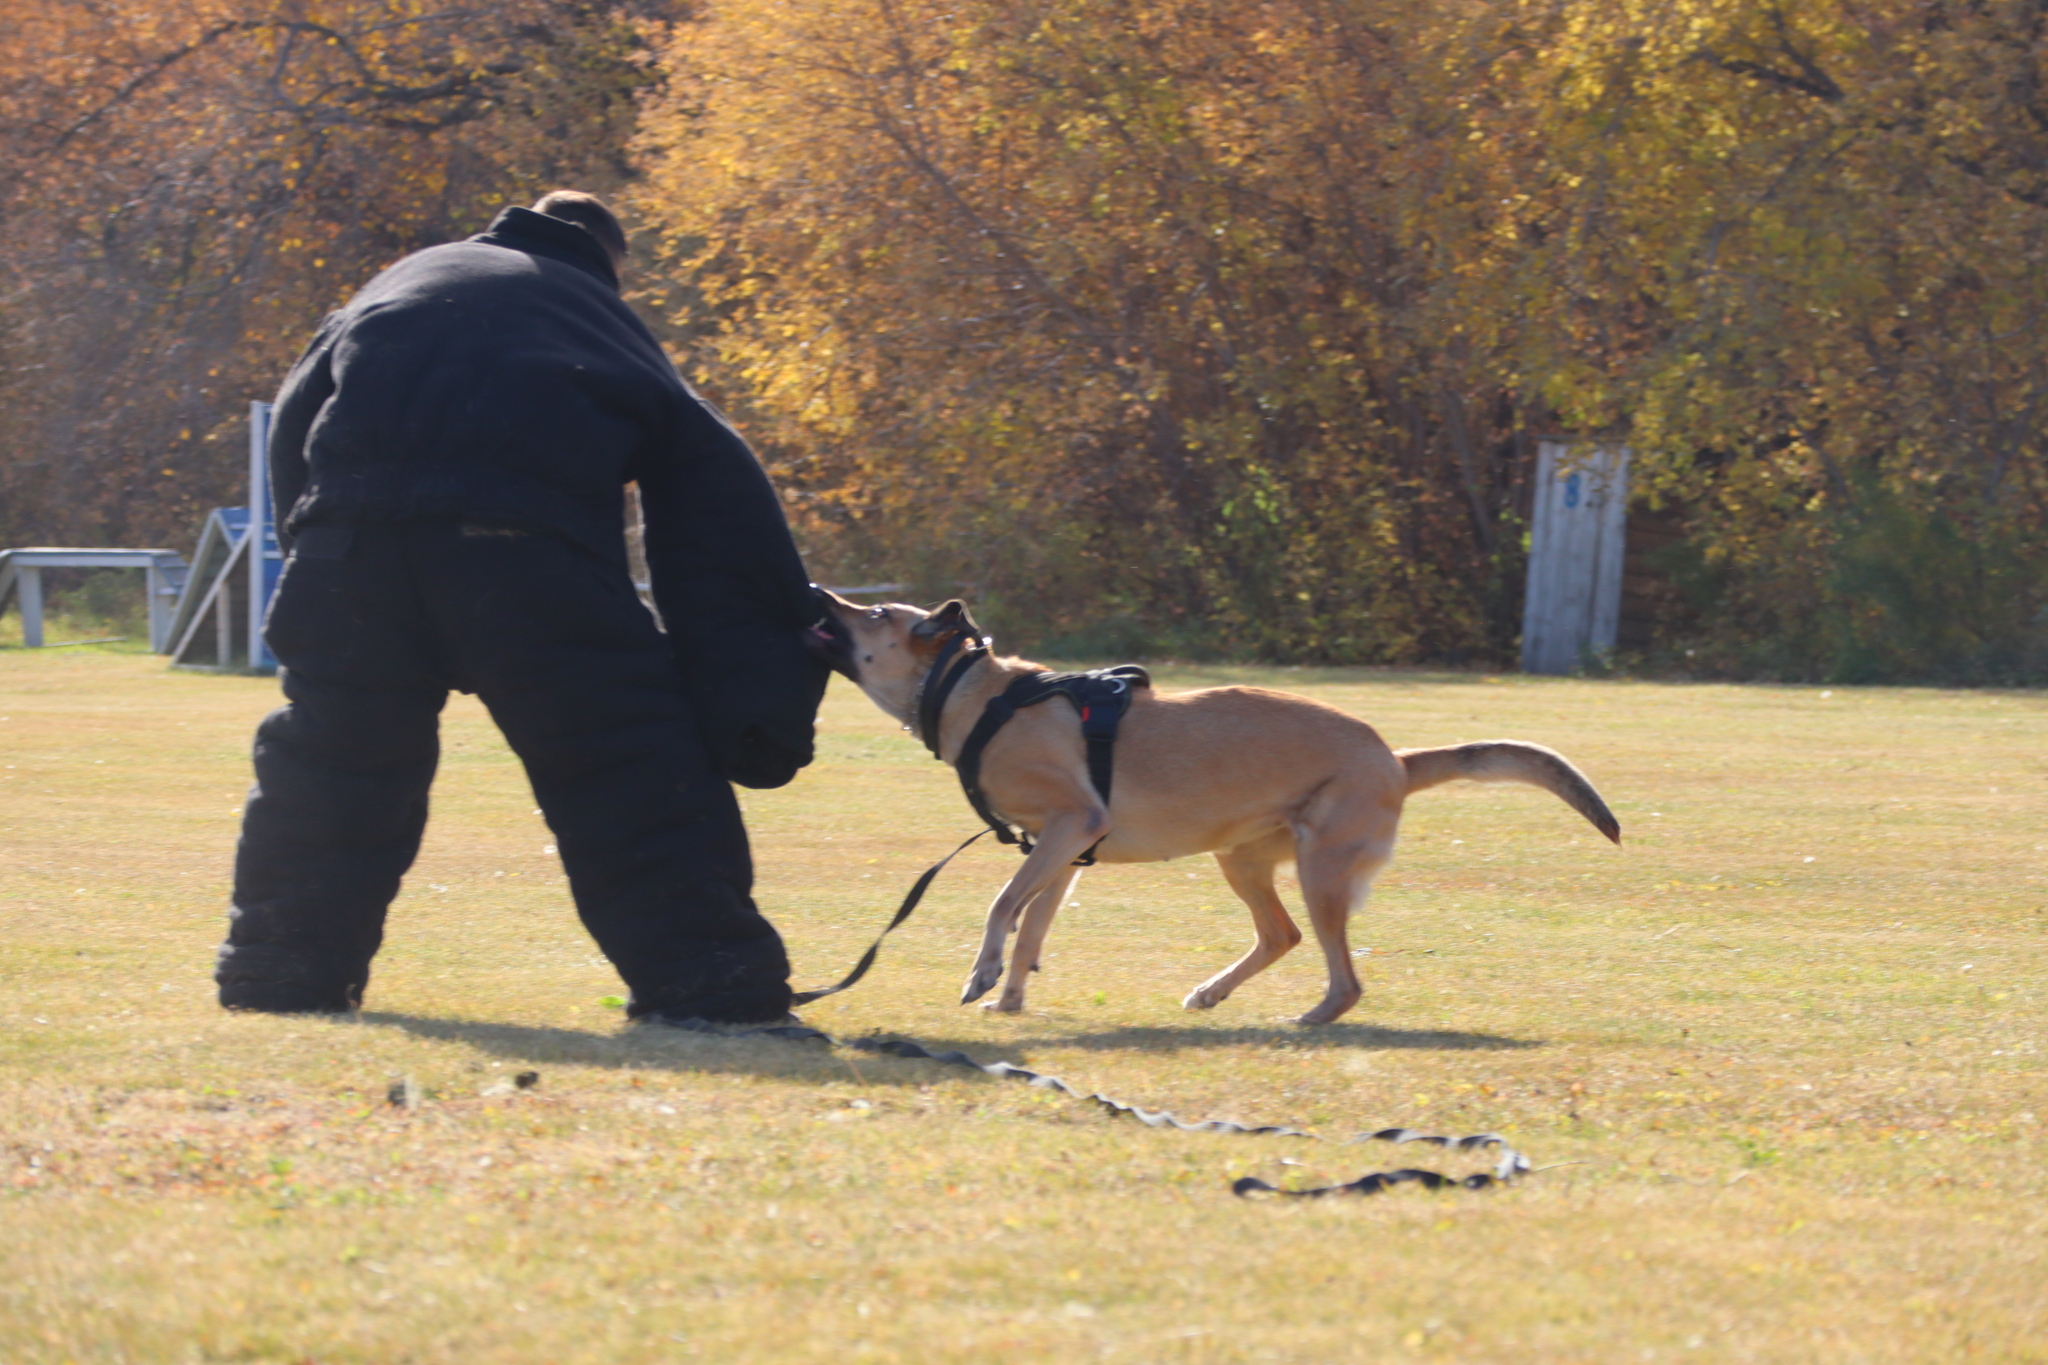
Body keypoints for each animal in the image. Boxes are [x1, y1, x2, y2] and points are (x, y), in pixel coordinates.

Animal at [806, 593, 1622, 1019]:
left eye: (872, 611)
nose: (817, 592)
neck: (974, 693)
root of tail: (1395, 757)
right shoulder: (1061, 849)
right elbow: (1033, 922)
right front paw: (1008, 999)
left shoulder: (1071, 823)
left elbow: (1003, 904)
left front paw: (982, 975)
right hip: (1244, 859)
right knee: (1282, 936)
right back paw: (1213, 992)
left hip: (1321, 868)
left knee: (1342, 976)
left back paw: (1307, 1018)